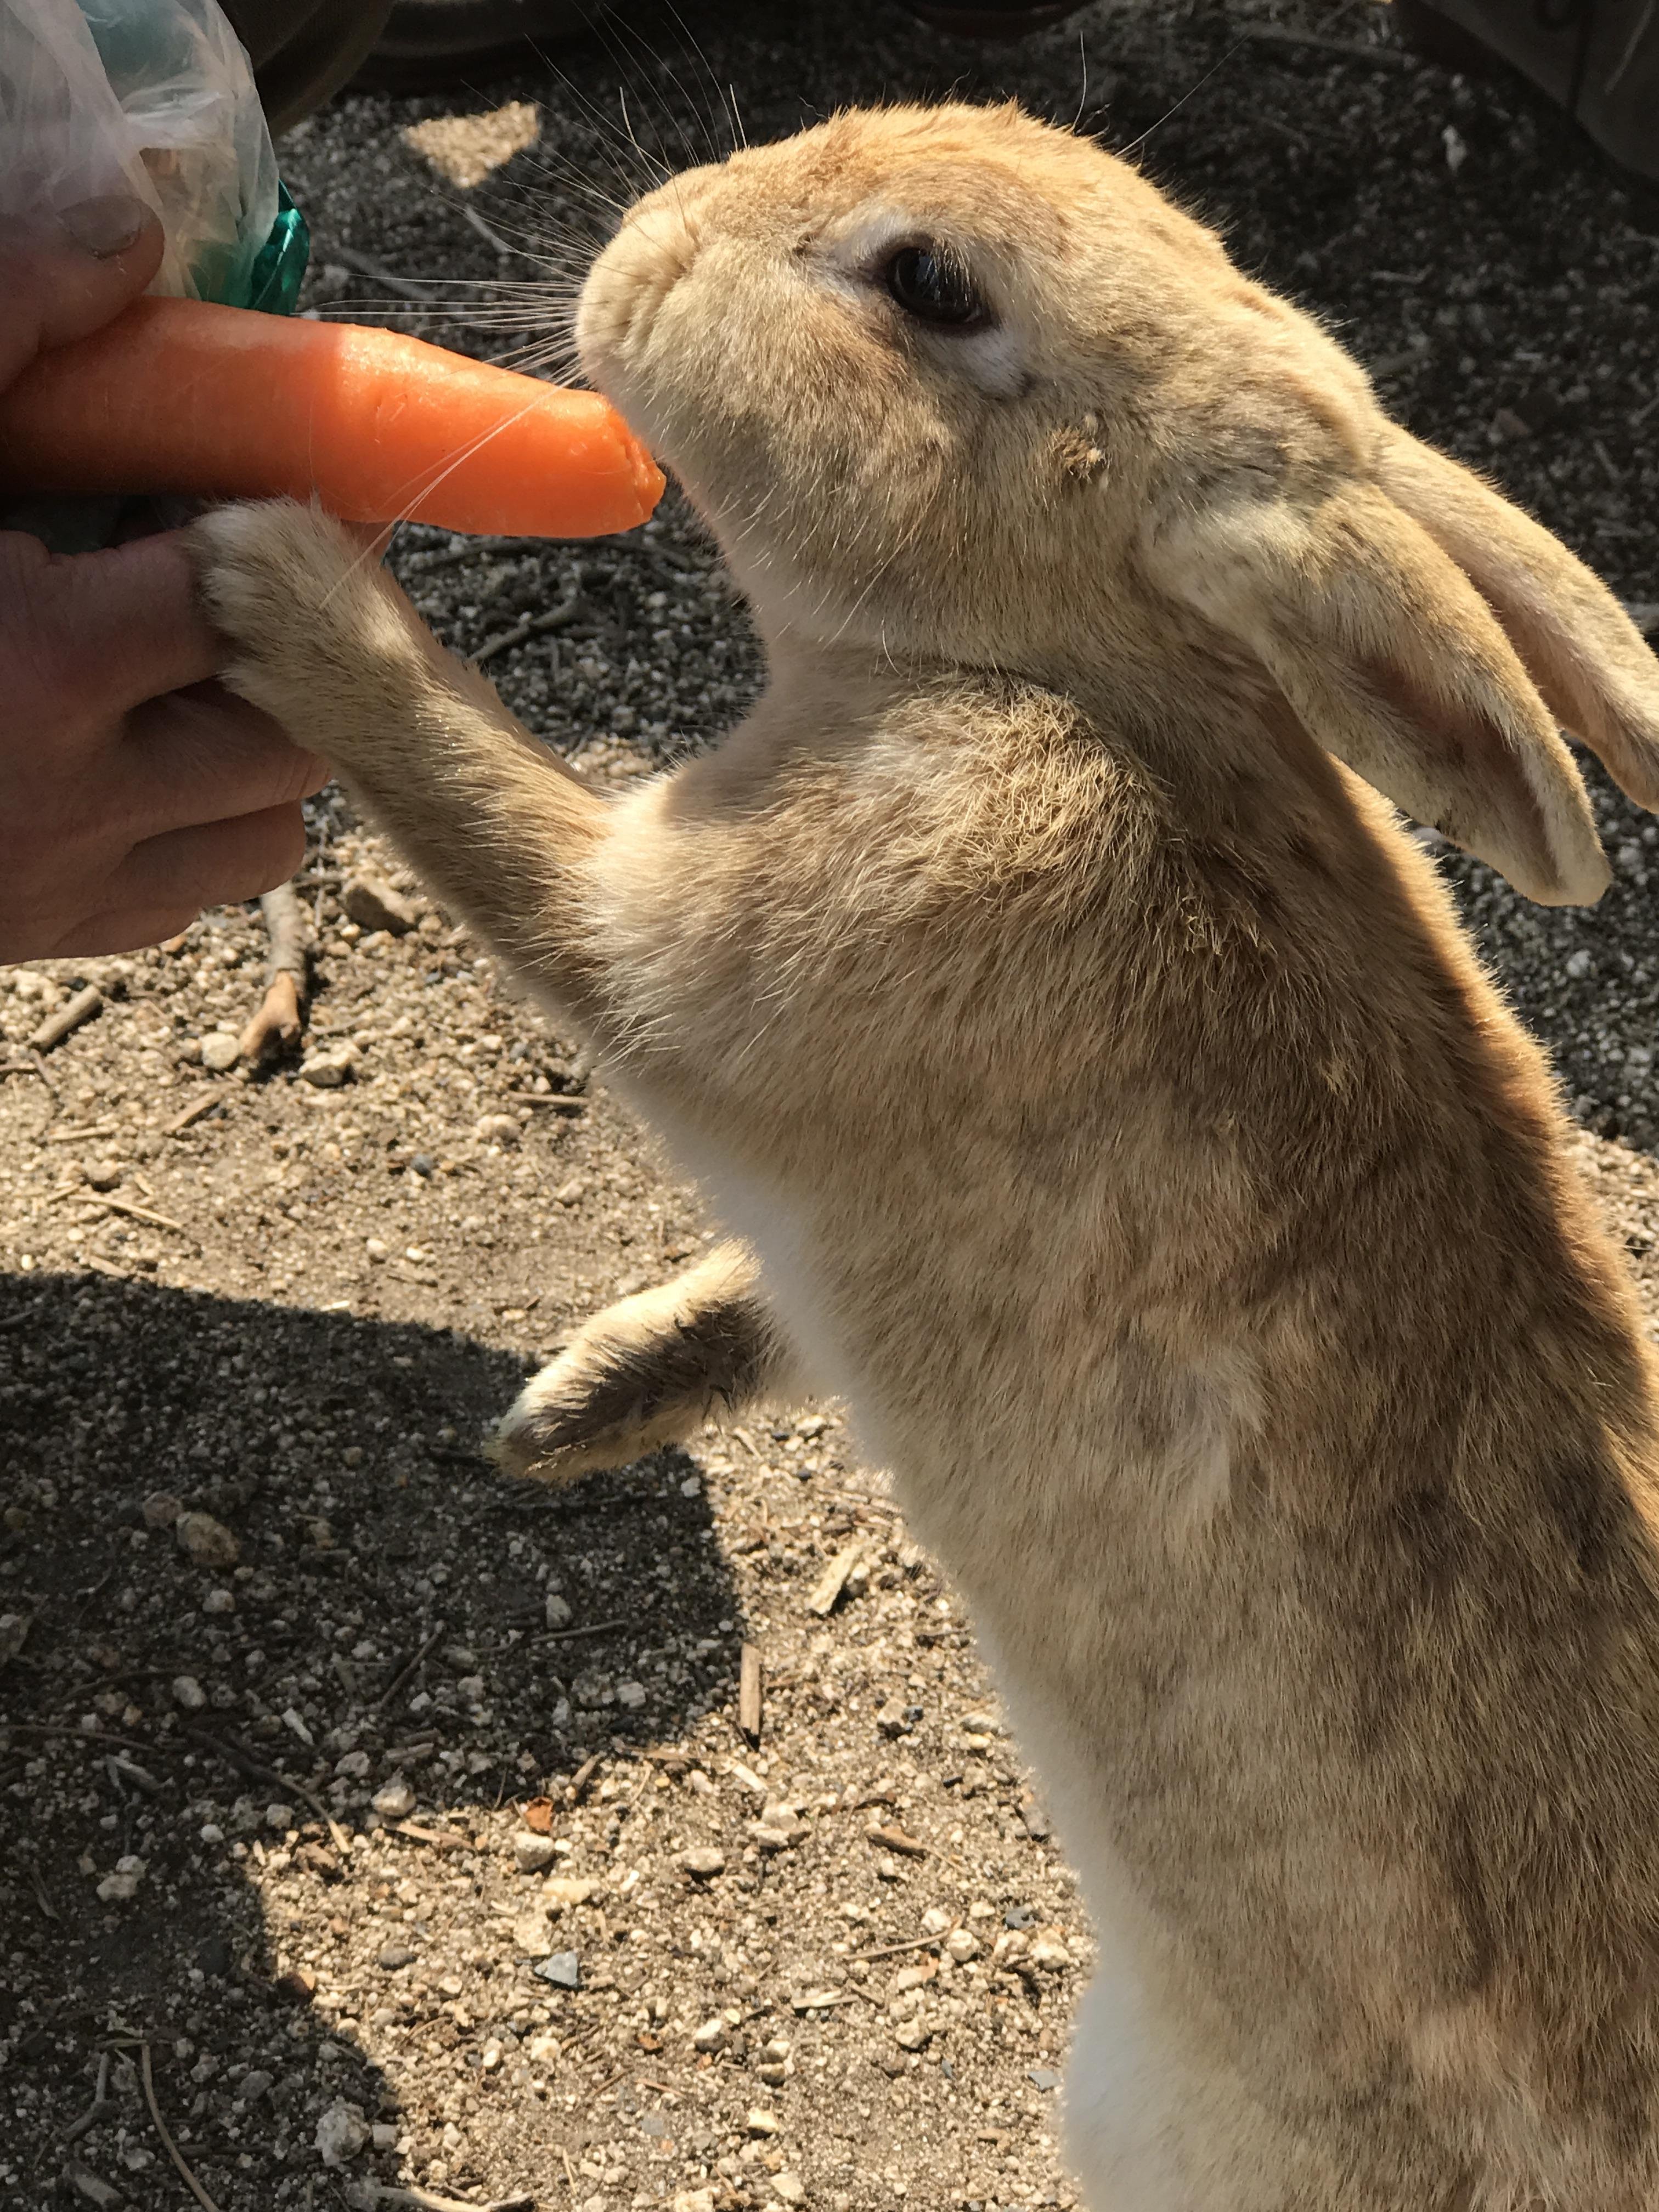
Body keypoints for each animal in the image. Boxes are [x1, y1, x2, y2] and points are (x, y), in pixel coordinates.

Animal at [198, 99, 1659, 2212]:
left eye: (931, 286)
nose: (652, 237)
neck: (1065, 677)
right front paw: (575, 1407)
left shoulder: (722, 927)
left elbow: (493, 817)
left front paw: (265, 573)